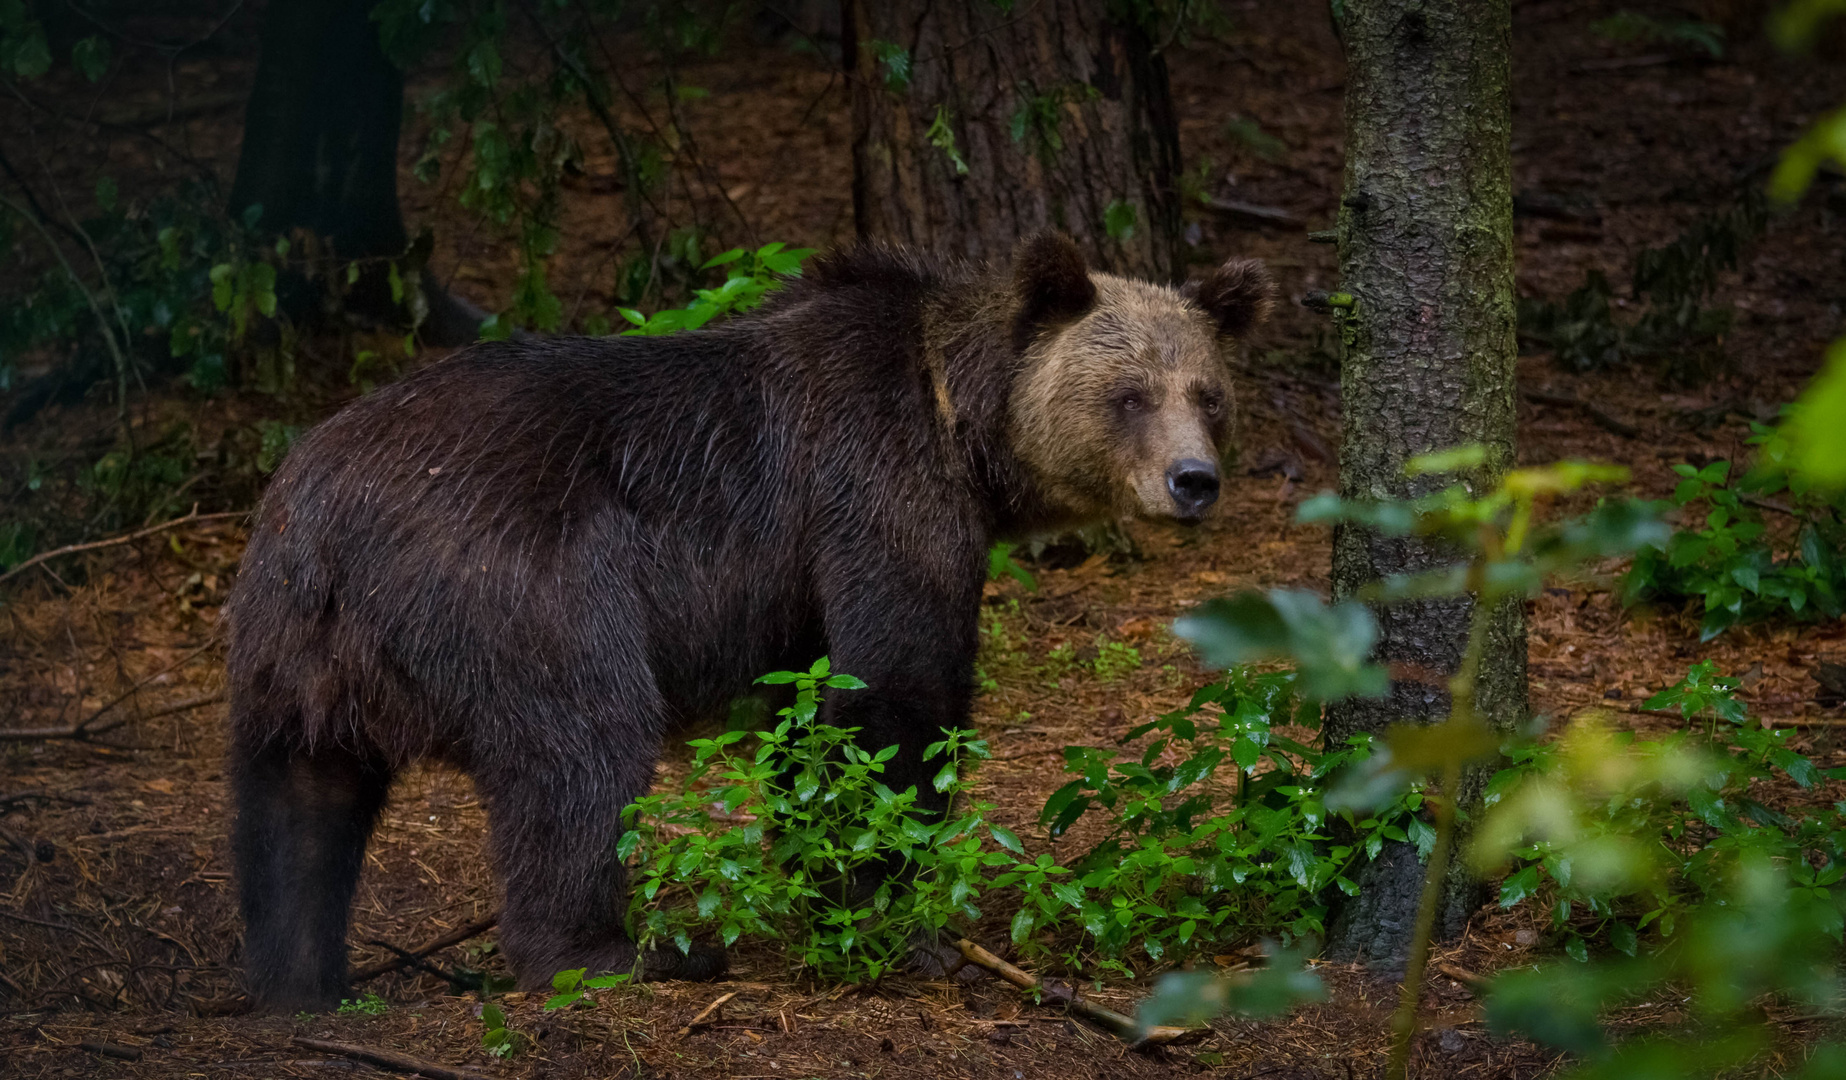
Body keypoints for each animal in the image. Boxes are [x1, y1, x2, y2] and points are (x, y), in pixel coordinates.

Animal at [223, 231, 1270, 1004]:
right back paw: (618, 951)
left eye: (1209, 394)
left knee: (297, 798)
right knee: (583, 744)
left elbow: (807, 715)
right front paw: (889, 910)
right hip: (518, 575)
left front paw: (815, 872)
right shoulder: (874, 486)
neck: (963, 426)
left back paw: (299, 978)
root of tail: (325, 517)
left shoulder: (796, 588)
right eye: (1129, 394)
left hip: (290, 640)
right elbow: (898, 690)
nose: (1193, 480)